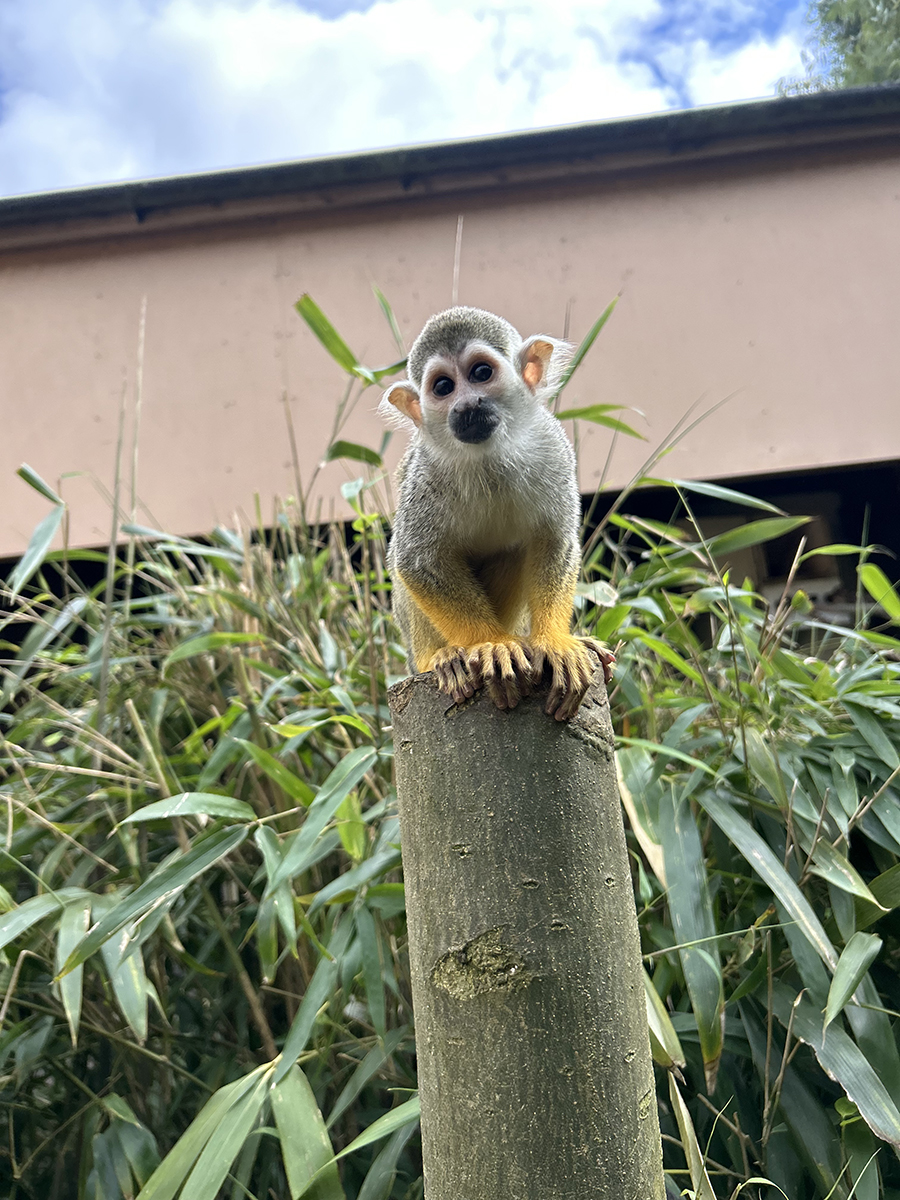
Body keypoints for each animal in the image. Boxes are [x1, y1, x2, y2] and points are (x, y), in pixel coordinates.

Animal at [380, 306, 614, 722]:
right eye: (443, 387)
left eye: (480, 373)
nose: (466, 405)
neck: (489, 454)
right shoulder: (426, 473)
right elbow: (416, 560)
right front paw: (491, 643)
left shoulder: (553, 447)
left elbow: (553, 541)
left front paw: (553, 640)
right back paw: (441, 658)